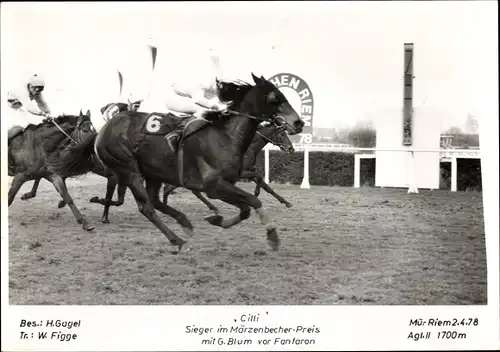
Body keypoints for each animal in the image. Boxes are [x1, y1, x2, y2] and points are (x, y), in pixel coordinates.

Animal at [162, 122, 294, 213]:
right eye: (282, 134)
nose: (291, 149)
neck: (248, 148)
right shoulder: (241, 173)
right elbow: (259, 177)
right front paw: (255, 193)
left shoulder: (248, 171)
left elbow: (266, 185)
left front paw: (286, 202)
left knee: (173, 188)